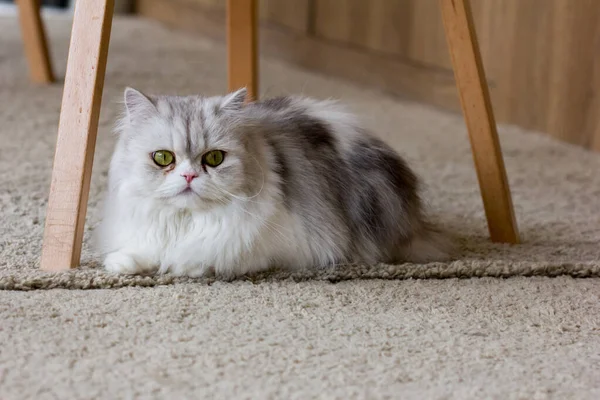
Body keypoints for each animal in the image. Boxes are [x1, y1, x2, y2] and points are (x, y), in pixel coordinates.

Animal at [96, 86, 452, 278]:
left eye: (214, 158)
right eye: (163, 158)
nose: (189, 176)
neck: (187, 222)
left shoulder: (289, 247)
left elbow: (209, 256)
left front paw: (184, 266)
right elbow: (140, 251)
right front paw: (122, 264)